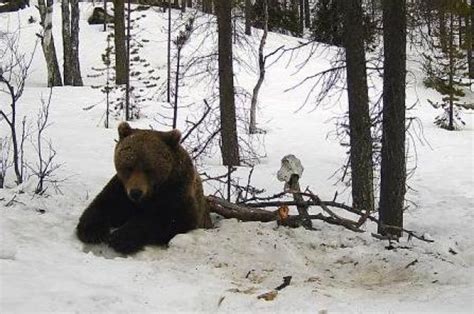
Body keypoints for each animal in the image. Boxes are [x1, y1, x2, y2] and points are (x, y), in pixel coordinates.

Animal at [76, 121, 213, 254]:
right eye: (129, 167)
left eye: (149, 169)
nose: (136, 192)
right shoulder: (121, 189)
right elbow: (103, 205)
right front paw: (92, 231)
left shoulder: (177, 193)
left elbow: (169, 220)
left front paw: (121, 238)